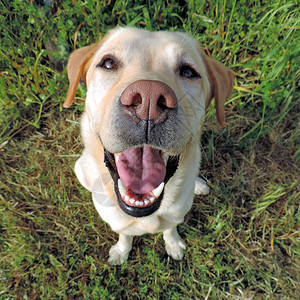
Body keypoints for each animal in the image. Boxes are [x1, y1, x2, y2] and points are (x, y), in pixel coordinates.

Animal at [63, 27, 234, 264]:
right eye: (109, 63)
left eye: (188, 72)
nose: (149, 100)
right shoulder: (119, 222)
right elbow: (125, 235)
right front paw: (121, 251)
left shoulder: (175, 216)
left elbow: (170, 229)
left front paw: (173, 244)